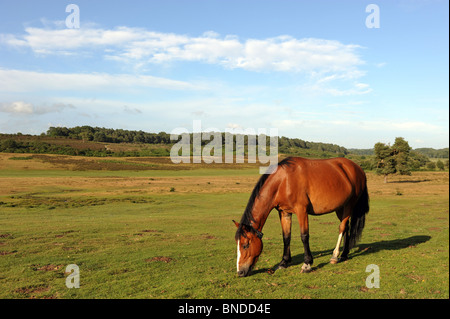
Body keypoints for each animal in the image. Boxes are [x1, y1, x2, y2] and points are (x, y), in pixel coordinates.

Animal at [234, 158, 368, 278]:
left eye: (245, 245)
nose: (240, 272)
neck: (283, 181)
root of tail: (357, 168)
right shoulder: (284, 213)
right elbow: (286, 237)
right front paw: (284, 262)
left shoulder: (301, 211)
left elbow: (304, 236)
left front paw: (307, 264)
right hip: (340, 207)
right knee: (346, 228)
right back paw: (344, 254)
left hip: (349, 205)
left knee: (342, 227)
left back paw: (335, 256)